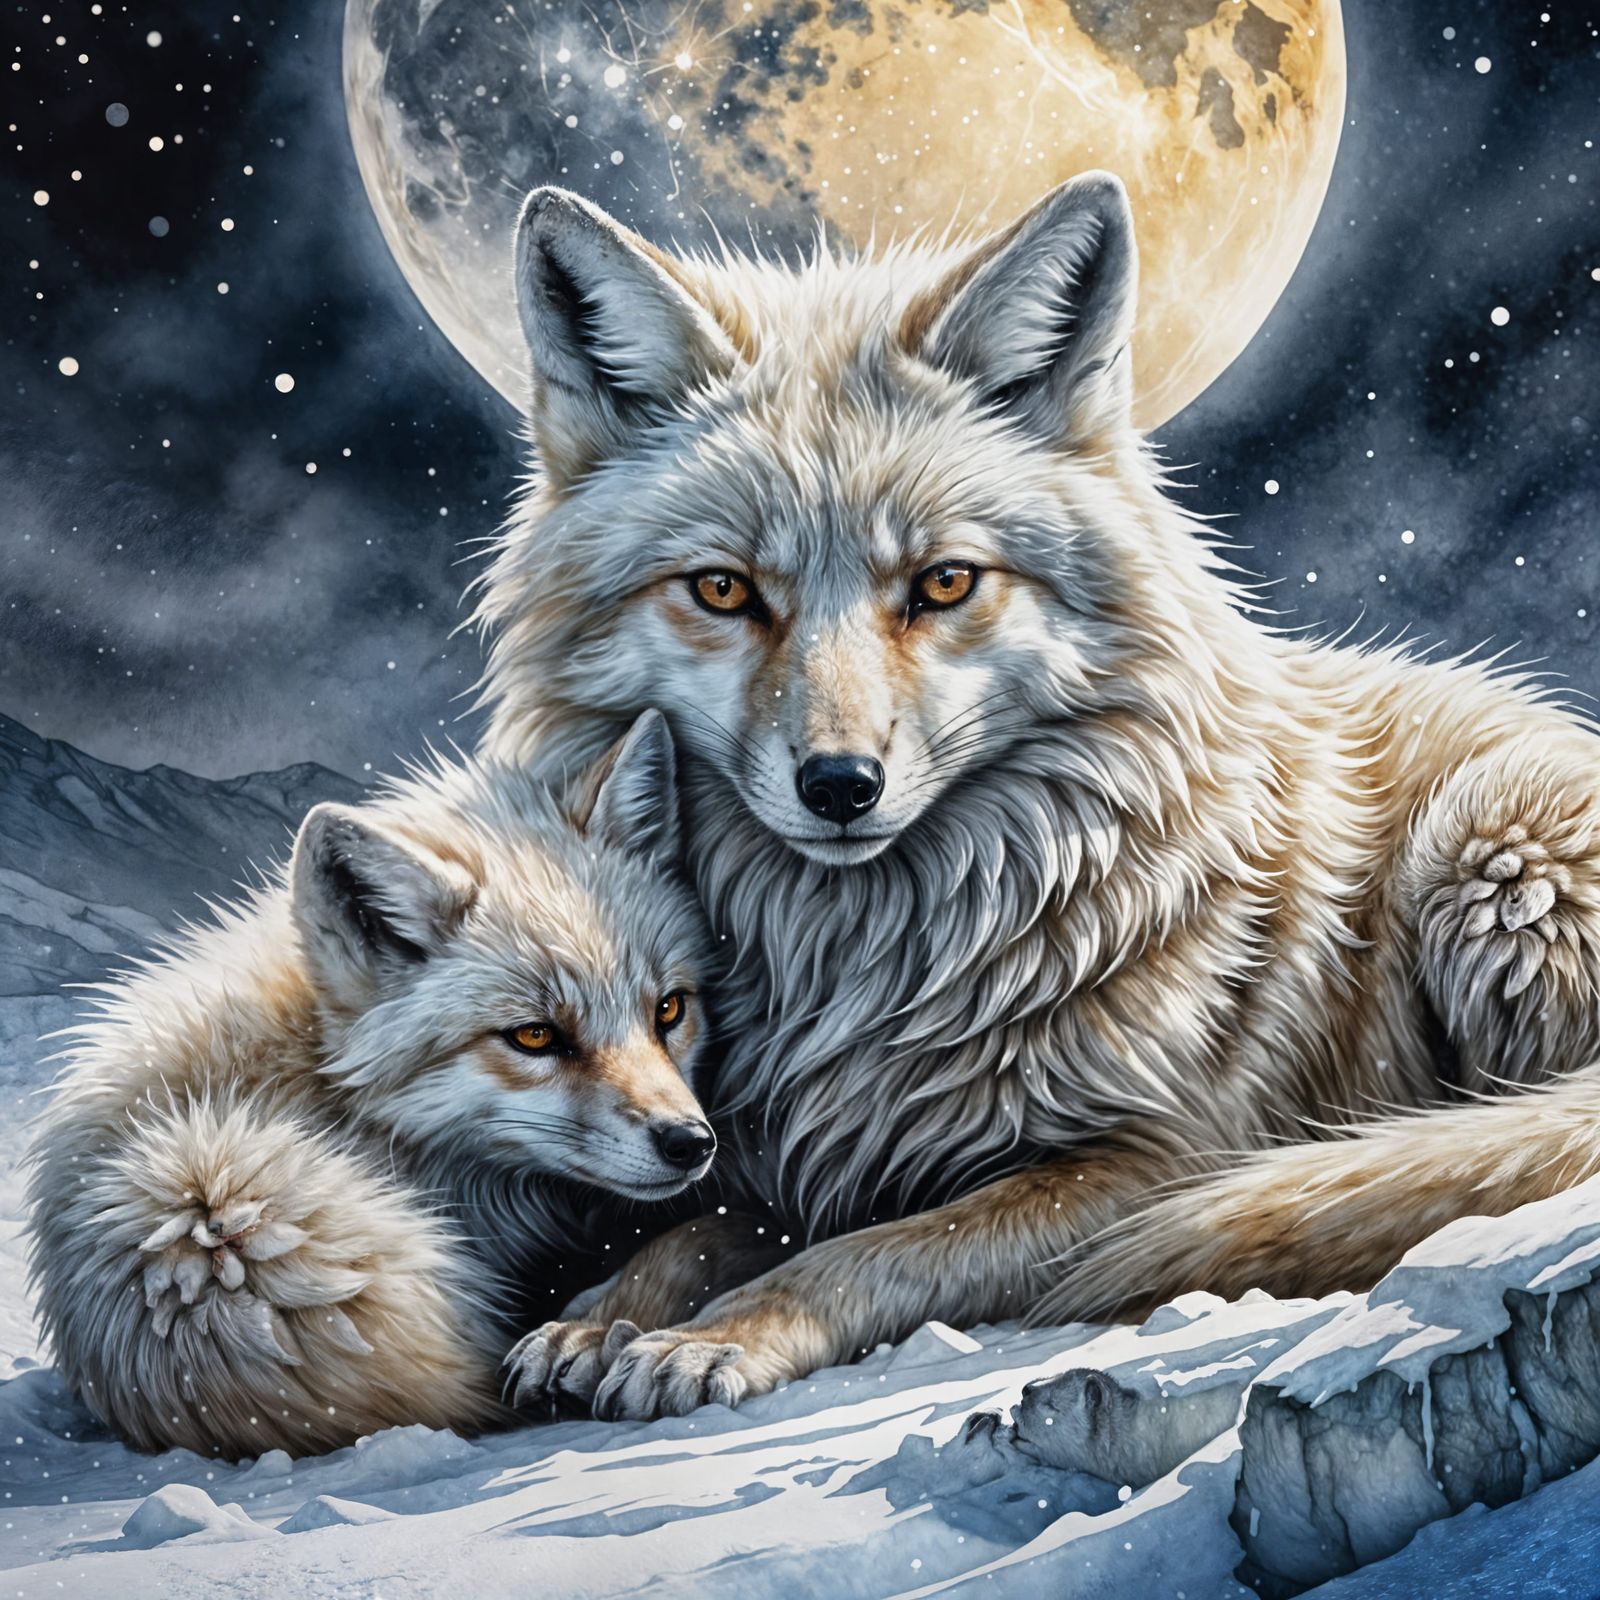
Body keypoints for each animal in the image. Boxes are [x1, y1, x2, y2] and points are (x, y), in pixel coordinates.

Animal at [479, 173, 1600, 1422]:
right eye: (723, 590)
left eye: (943, 582)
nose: (840, 786)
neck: (871, 965)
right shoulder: (796, 1152)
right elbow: (702, 1228)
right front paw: (602, 1319)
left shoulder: (1160, 1157)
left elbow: (865, 1255)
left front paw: (711, 1338)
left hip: (1492, 844)